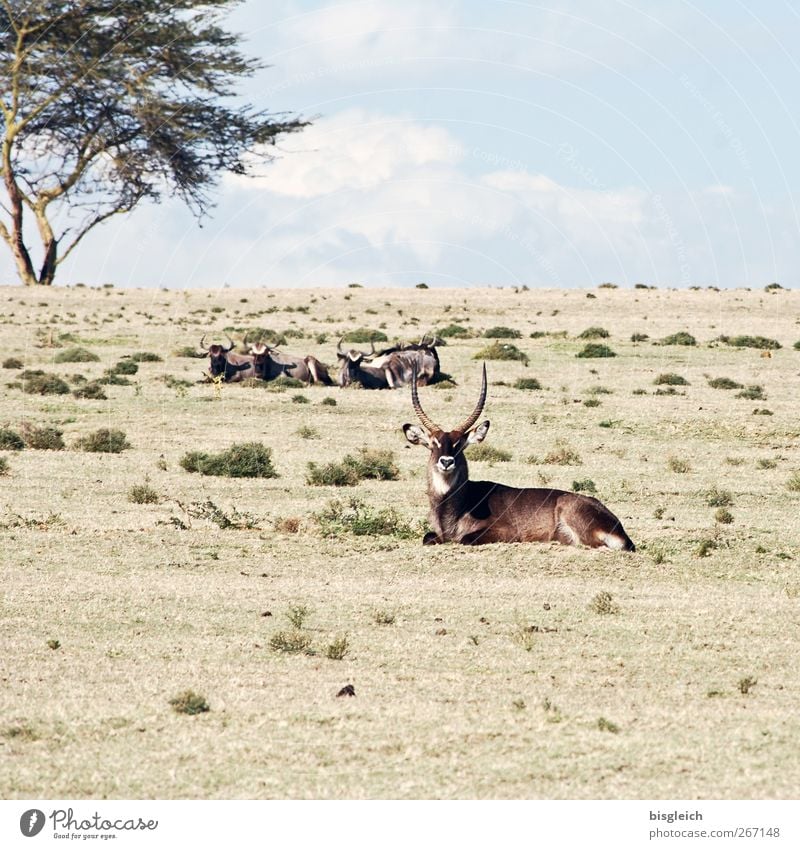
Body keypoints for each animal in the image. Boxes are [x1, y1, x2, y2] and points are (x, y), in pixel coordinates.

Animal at [404, 364, 636, 548]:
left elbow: (464, 539)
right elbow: (427, 538)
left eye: (459, 444)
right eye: (433, 444)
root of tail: (619, 529)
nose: (446, 462)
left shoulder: (505, 532)